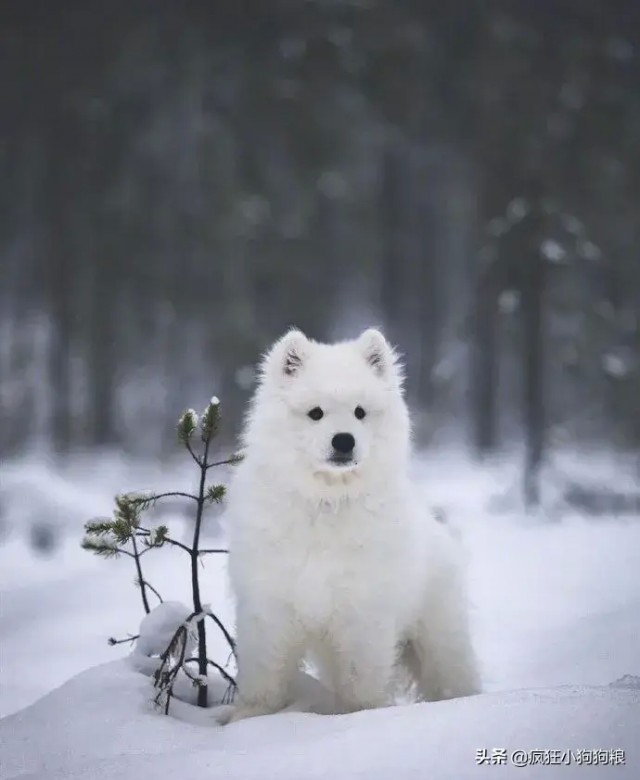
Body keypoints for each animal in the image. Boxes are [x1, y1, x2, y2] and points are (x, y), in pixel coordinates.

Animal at [222, 326, 478, 724]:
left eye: (360, 412)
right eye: (315, 413)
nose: (344, 440)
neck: (327, 501)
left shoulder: (362, 614)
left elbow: (361, 680)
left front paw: (360, 718)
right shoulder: (269, 608)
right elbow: (264, 675)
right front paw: (250, 719)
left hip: (439, 639)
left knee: (454, 677)